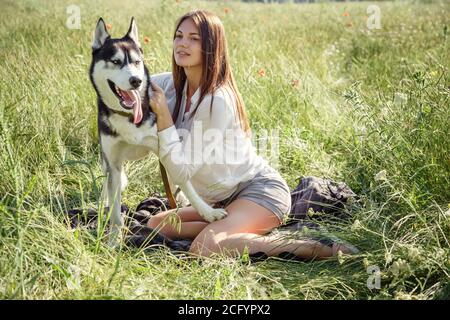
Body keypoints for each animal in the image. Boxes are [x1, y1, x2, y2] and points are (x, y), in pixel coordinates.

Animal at [89, 17, 227, 246]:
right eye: (115, 62)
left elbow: (183, 180)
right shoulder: (113, 163)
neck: (129, 117)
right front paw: (113, 241)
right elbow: (116, 211)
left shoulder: (164, 147)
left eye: (136, 62)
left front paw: (207, 211)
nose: (136, 80)